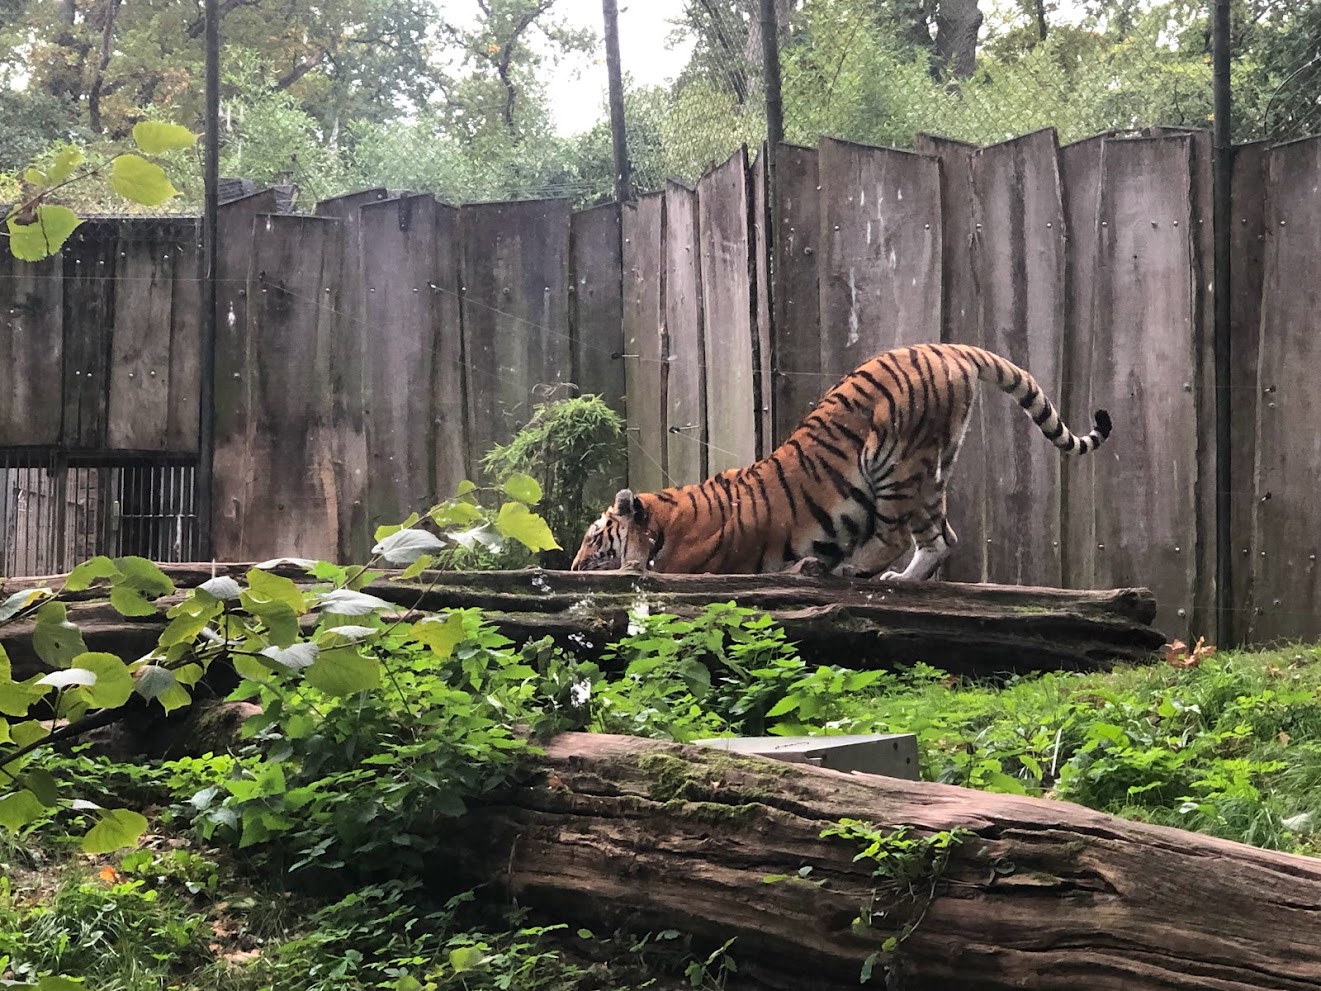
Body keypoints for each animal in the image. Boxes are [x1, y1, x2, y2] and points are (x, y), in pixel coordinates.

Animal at [570, 343, 1111, 581]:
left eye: (594, 538)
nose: (572, 566)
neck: (665, 521)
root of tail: (945, 346)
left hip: (893, 459)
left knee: (894, 534)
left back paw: (849, 569)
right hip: (931, 468)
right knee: (941, 537)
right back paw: (897, 578)